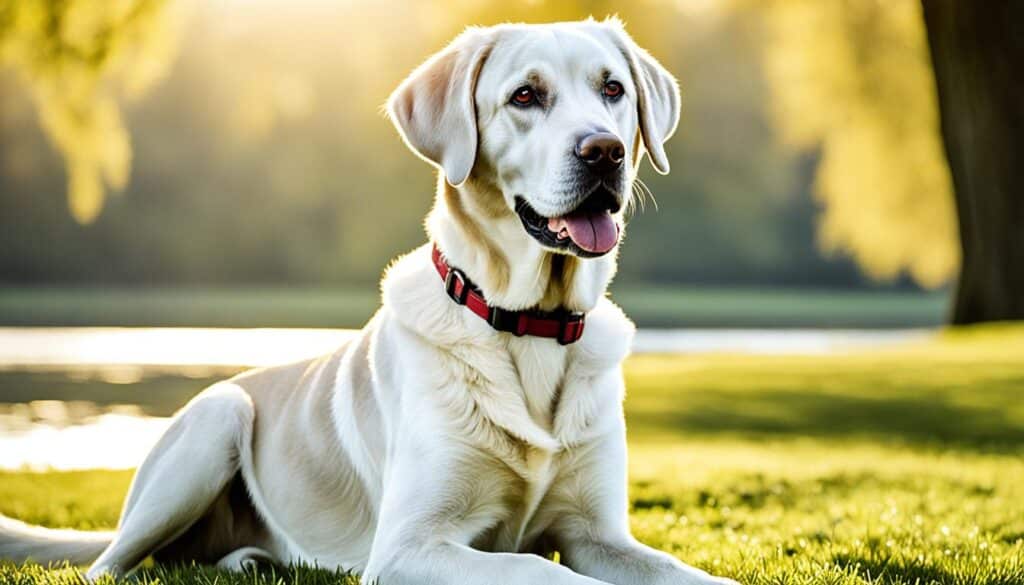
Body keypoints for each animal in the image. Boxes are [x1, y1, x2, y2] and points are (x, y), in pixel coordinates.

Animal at [0, 18, 737, 585]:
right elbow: (540, 569)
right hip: (217, 417)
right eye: (525, 96)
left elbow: (685, 573)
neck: (528, 323)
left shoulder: (598, 533)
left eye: (613, 90)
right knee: (113, 565)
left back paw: (250, 558)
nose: (604, 151)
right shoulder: (411, 545)